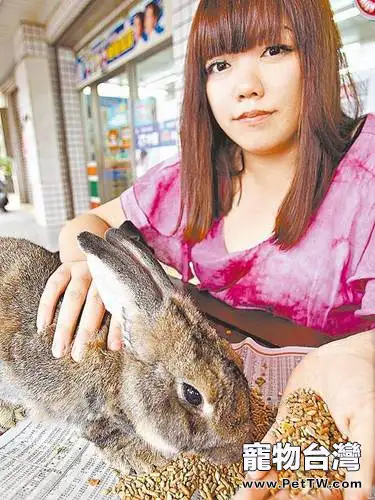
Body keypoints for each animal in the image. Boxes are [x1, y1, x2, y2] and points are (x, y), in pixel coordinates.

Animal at [0, 221, 256, 474]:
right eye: (193, 395)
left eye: (241, 363)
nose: (236, 452)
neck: (123, 375)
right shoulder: (92, 414)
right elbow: (109, 436)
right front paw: (145, 459)